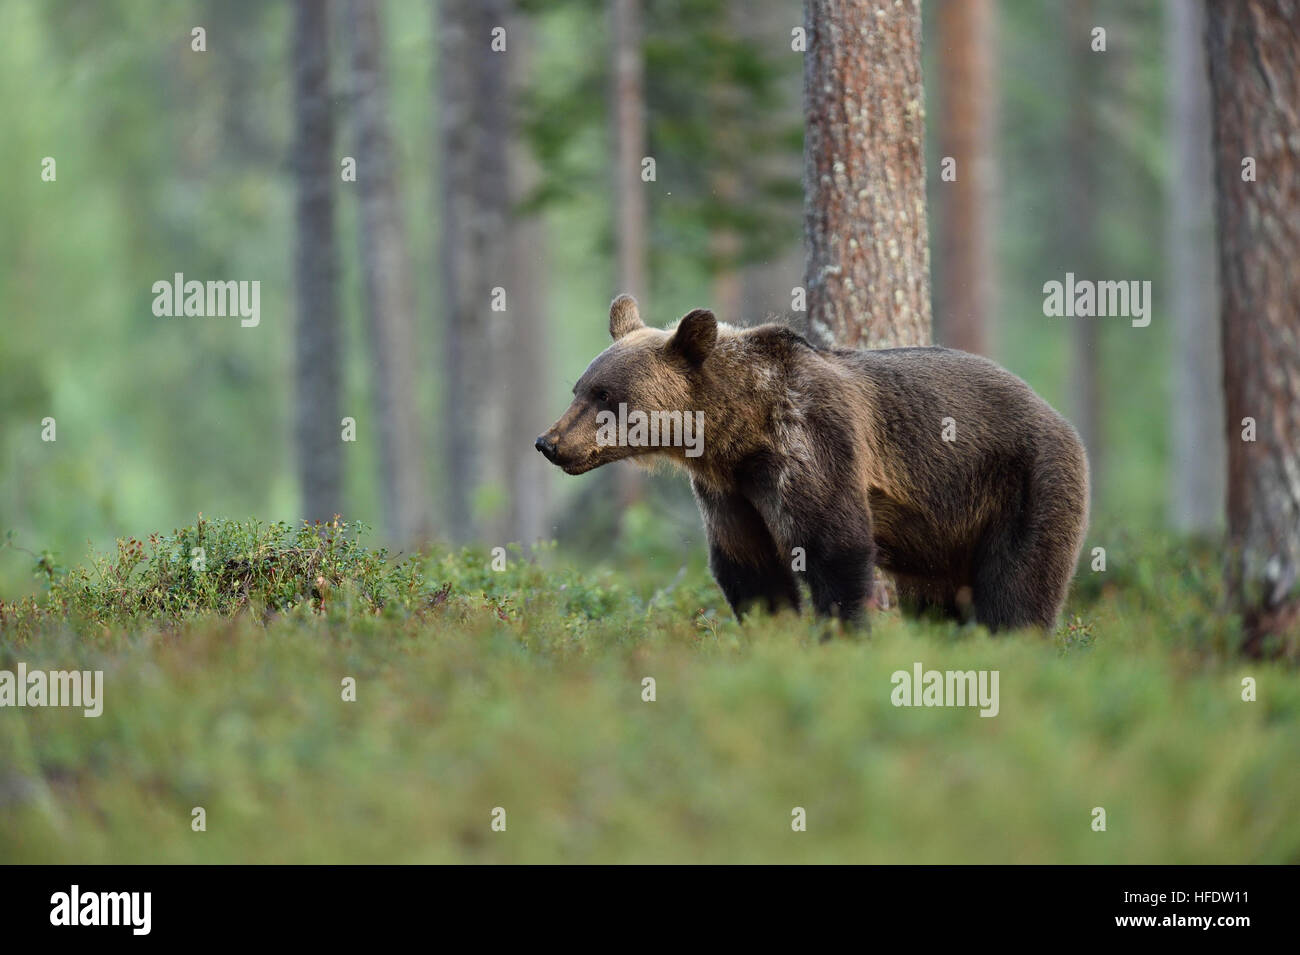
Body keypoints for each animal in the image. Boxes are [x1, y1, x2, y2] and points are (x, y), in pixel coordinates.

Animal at [536, 294, 1090, 632]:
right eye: (579, 389)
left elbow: (833, 546)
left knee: (1018, 586)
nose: (549, 442)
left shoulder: (810, 444)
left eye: (607, 395)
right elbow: (749, 565)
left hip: (1023, 480)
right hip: (944, 534)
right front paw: (771, 631)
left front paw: (841, 635)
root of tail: (1058, 415)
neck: (737, 430)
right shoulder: (729, 489)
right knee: (936, 599)